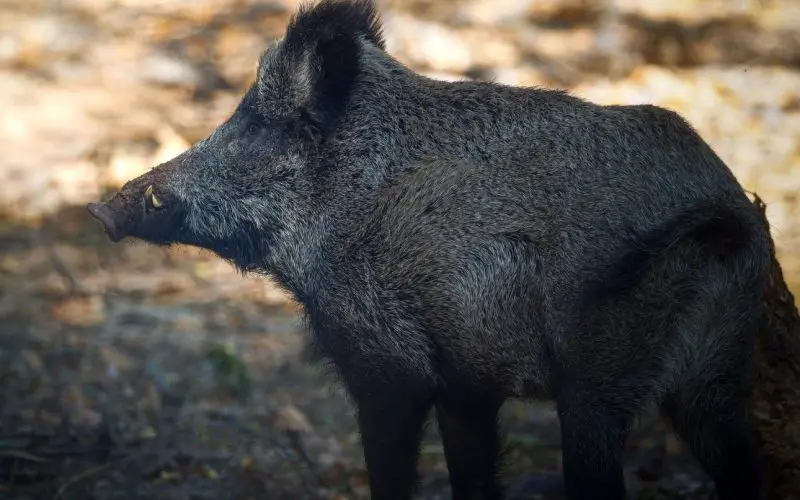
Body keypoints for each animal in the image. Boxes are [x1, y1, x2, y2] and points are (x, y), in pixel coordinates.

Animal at [86, 1, 771, 499]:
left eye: (257, 124)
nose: (102, 209)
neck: (344, 201)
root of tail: (724, 216)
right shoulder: (468, 383)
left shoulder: (387, 361)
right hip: (714, 374)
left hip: (600, 376)